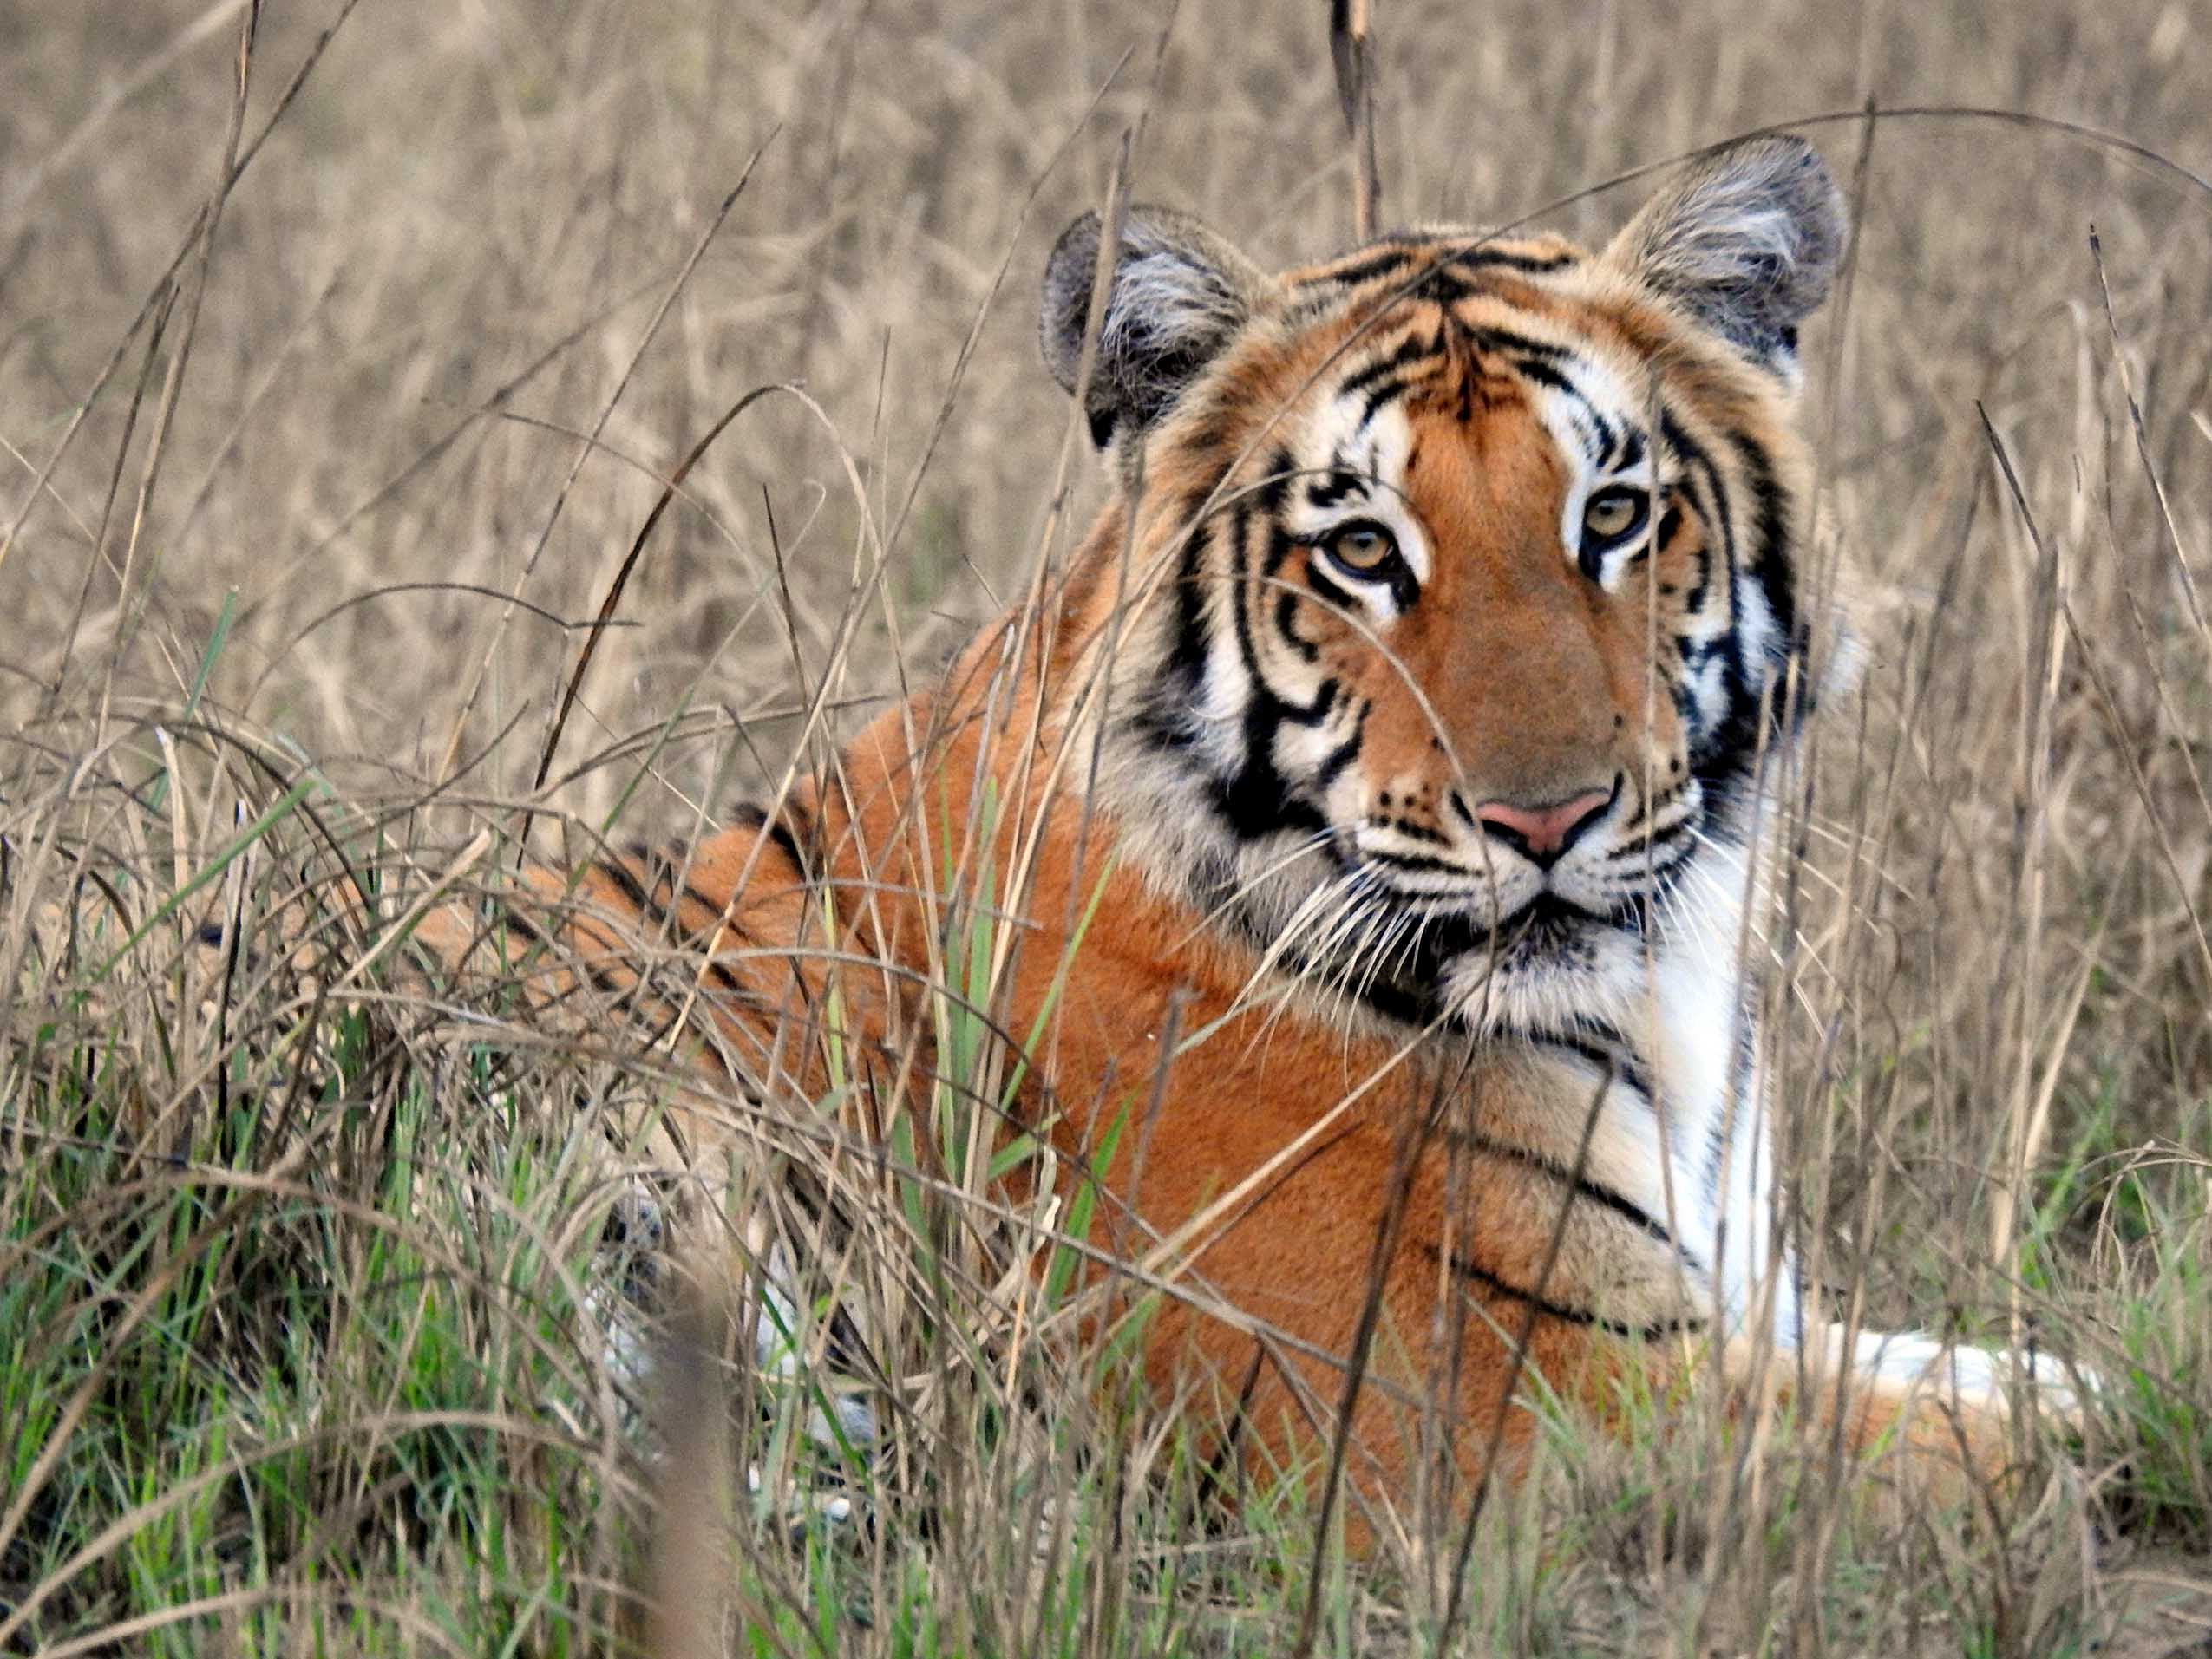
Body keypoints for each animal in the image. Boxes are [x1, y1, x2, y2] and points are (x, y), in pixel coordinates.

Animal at [422, 136, 2079, 1539]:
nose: (1544, 817)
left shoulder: (1737, 1314)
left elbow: (2022, 1367)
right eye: (1359, 550)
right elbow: (2042, 1440)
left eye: (1613, 516)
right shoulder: (1511, 1404)